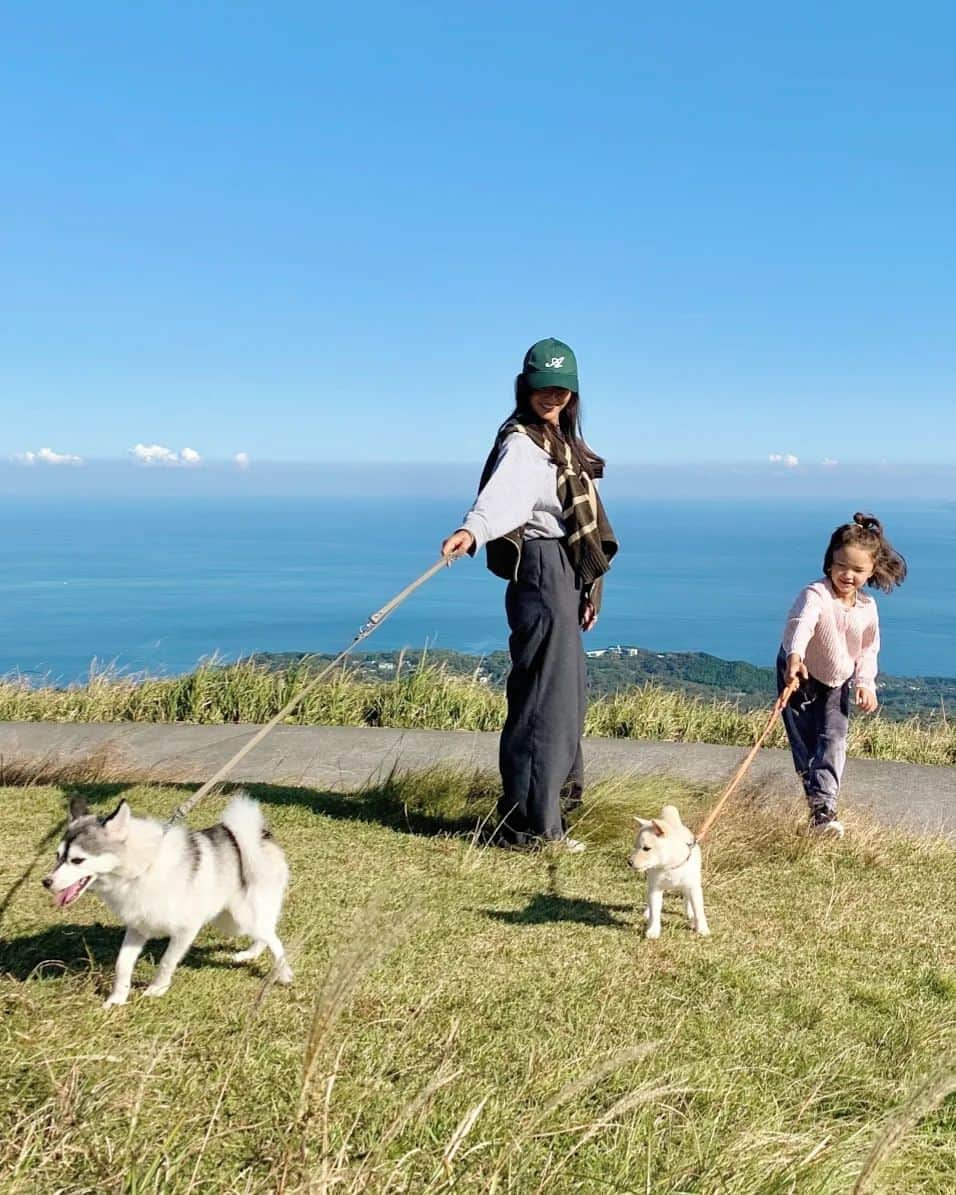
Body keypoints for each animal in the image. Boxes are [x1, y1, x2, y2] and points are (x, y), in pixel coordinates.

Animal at [41, 793, 292, 1008]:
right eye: (57, 856)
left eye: (77, 860)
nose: (46, 882)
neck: (144, 867)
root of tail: (261, 836)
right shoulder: (137, 928)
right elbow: (122, 963)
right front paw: (118, 998)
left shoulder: (185, 930)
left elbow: (167, 961)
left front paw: (157, 989)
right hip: (231, 920)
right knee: (266, 934)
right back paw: (250, 954)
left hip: (241, 916)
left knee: (274, 939)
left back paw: (283, 972)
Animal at [626, 807, 707, 936]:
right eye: (635, 847)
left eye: (646, 848)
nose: (629, 862)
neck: (670, 867)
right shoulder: (655, 889)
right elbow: (655, 912)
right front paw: (653, 931)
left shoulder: (693, 888)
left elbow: (699, 911)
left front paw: (703, 929)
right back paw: (647, 912)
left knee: (687, 898)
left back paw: (689, 913)